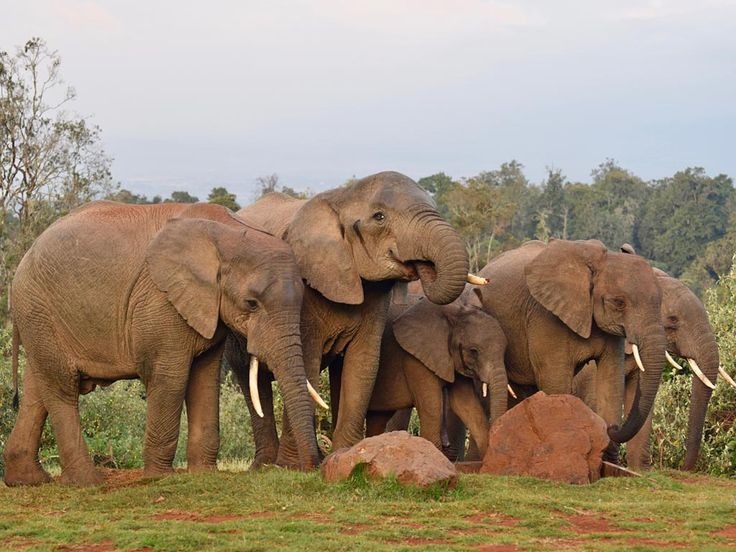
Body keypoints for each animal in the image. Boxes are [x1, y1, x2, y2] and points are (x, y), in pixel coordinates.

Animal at [2, 201, 320, 486]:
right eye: (251, 303)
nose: (309, 469)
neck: (225, 234)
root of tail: (27, 253)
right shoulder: (161, 302)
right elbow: (170, 378)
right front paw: (159, 477)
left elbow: (205, 378)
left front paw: (204, 475)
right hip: (38, 308)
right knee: (62, 388)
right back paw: (88, 482)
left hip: (40, 317)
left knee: (37, 388)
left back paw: (29, 481)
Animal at [231, 170, 472, 468]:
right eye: (379, 217)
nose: (421, 264)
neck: (342, 197)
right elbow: (306, 363)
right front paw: (293, 466)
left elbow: (363, 363)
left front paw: (346, 455)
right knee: (252, 381)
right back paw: (264, 465)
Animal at [366, 296, 508, 460]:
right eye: (473, 351)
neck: (454, 313)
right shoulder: (414, 359)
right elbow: (432, 406)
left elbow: (466, 403)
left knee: (377, 419)